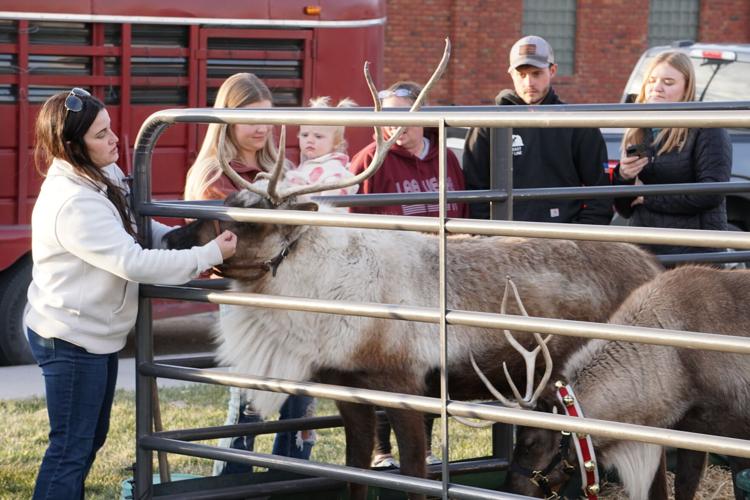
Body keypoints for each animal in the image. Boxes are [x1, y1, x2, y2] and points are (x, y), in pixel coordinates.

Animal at [163, 39, 664, 500]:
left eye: (248, 220)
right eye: (226, 199)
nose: (171, 240)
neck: (324, 294)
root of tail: (651, 266)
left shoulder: (405, 389)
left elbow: (415, 478)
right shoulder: (350, 392)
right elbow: (356, 473)